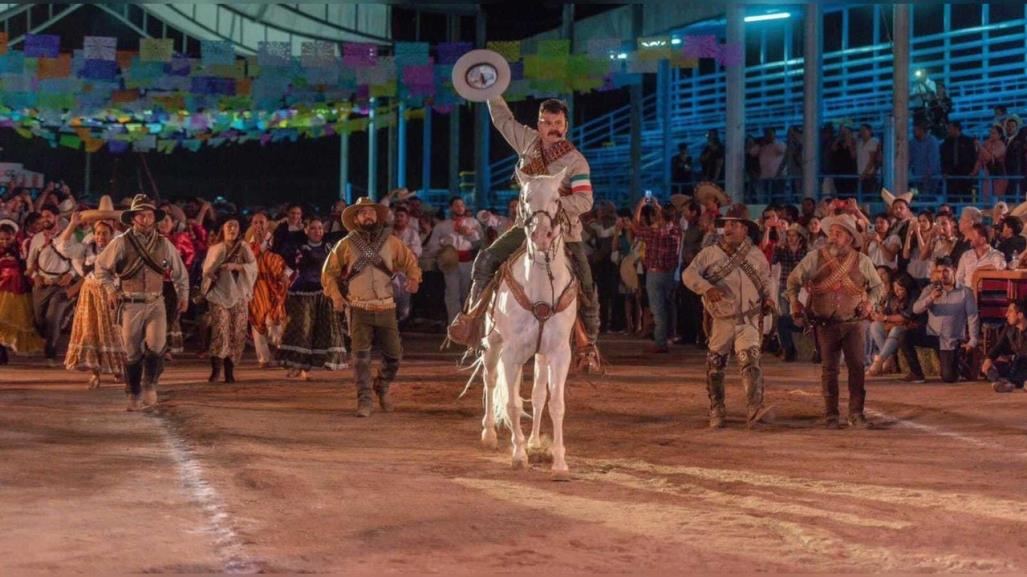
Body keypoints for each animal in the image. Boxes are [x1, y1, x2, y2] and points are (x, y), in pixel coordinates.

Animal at [478, 165, 579, 476]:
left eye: (557, 199)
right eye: (524, 198)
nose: (541, 237)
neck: (541, 288)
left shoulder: (559, 353)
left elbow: (555, 403)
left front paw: (559, 461)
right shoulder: (511, 354)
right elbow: (511, 403)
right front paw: (519, 454)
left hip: (540, 355)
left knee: (537, 395)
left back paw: (534, 441)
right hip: (493, 344)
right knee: (490, 379)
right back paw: (490, 434)